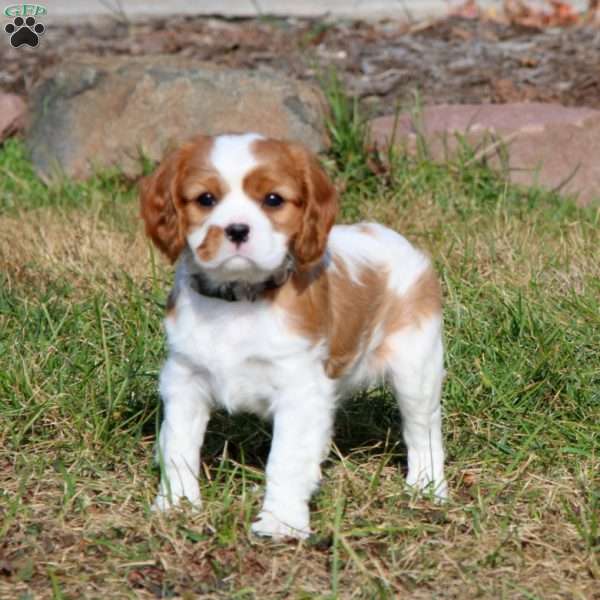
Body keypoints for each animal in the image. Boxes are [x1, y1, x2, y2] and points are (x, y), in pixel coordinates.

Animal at [138, 134, 442, 540]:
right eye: (205, 199)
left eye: (273, 200)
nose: (237, 229)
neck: (239, 300)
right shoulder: (184, 379)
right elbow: (178, 447)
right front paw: (176, 506)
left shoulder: (300, 389)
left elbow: (285, 459)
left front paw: (280, 523)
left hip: (417, 368)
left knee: (423, 429)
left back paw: (427, 487)